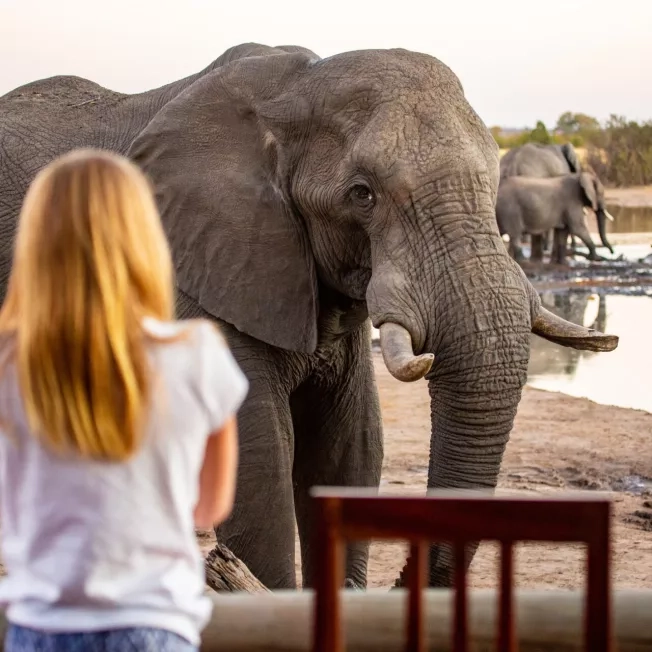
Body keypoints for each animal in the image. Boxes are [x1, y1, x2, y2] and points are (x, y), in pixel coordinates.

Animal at [0, 42, 620, 592]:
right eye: (362, 194)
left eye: (491, 183)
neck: (294, 86)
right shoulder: (202, 270)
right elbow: (260, 461)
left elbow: (350, 446)